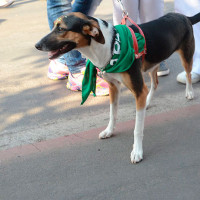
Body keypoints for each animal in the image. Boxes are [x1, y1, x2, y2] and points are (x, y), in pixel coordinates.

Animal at [35, 11, 199, 163]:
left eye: (61, 29)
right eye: (54, 26)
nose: (36, 45)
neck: (111, 46)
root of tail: (184, 16)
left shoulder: (138, 90)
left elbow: (137, 129)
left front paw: (137, 151)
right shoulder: (113, 87)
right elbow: (112, 114)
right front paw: (109, 131)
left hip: (186, 56)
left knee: (188, 74)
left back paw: (189, 92)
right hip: (152, 65)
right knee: (155, 83)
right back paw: (147, 102)